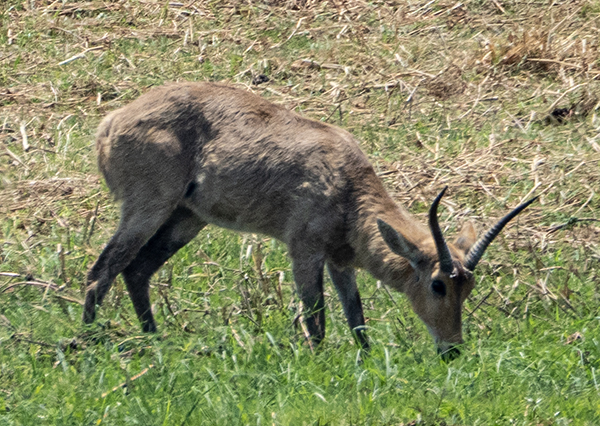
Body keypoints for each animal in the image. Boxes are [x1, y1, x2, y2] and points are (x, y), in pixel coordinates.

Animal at [83, 81, 536, 358]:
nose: (452, 350)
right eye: (438, 284)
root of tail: (112, 121)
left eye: (469, 286)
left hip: (186, 219)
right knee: (102, 270)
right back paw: (86, 344)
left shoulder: (339, 261)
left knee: (137, 270)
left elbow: (356, 316)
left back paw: (156, 340)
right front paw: (318, 362)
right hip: (148, 209)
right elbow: (316, 315)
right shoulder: (304, 250)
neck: (347, 184)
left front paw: (366, 360)